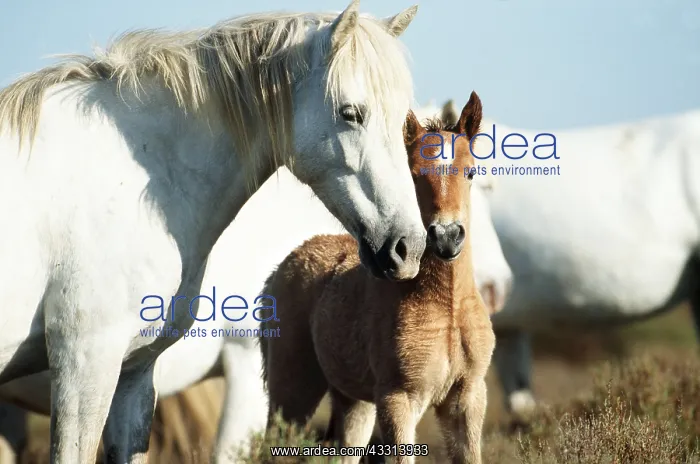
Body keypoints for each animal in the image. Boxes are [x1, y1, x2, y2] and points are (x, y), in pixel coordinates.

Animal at [260, 92, 495, 464]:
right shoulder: (399, 399)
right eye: (412, 175)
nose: (446, 236)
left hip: (353, 402)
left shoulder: (468, 398)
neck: (447, 308)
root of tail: (281, 268)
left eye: (471, 172)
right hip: (292, 391)